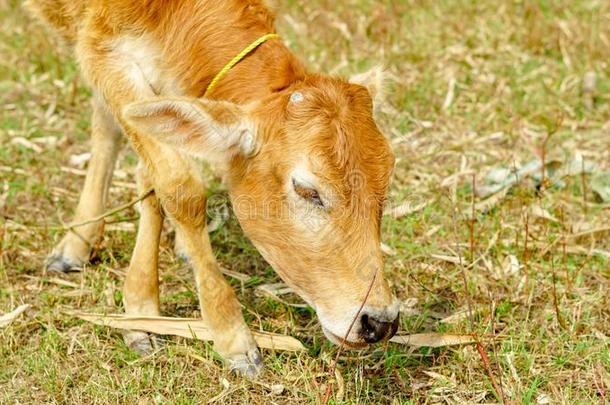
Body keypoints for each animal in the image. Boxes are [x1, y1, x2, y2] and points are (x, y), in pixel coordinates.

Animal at [27, 0, 400, 376]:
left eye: (387, 178)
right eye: (306, 190)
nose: (379, 322)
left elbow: (151, 168)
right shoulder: (100, 47)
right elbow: (179, 184)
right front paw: (227, 335)